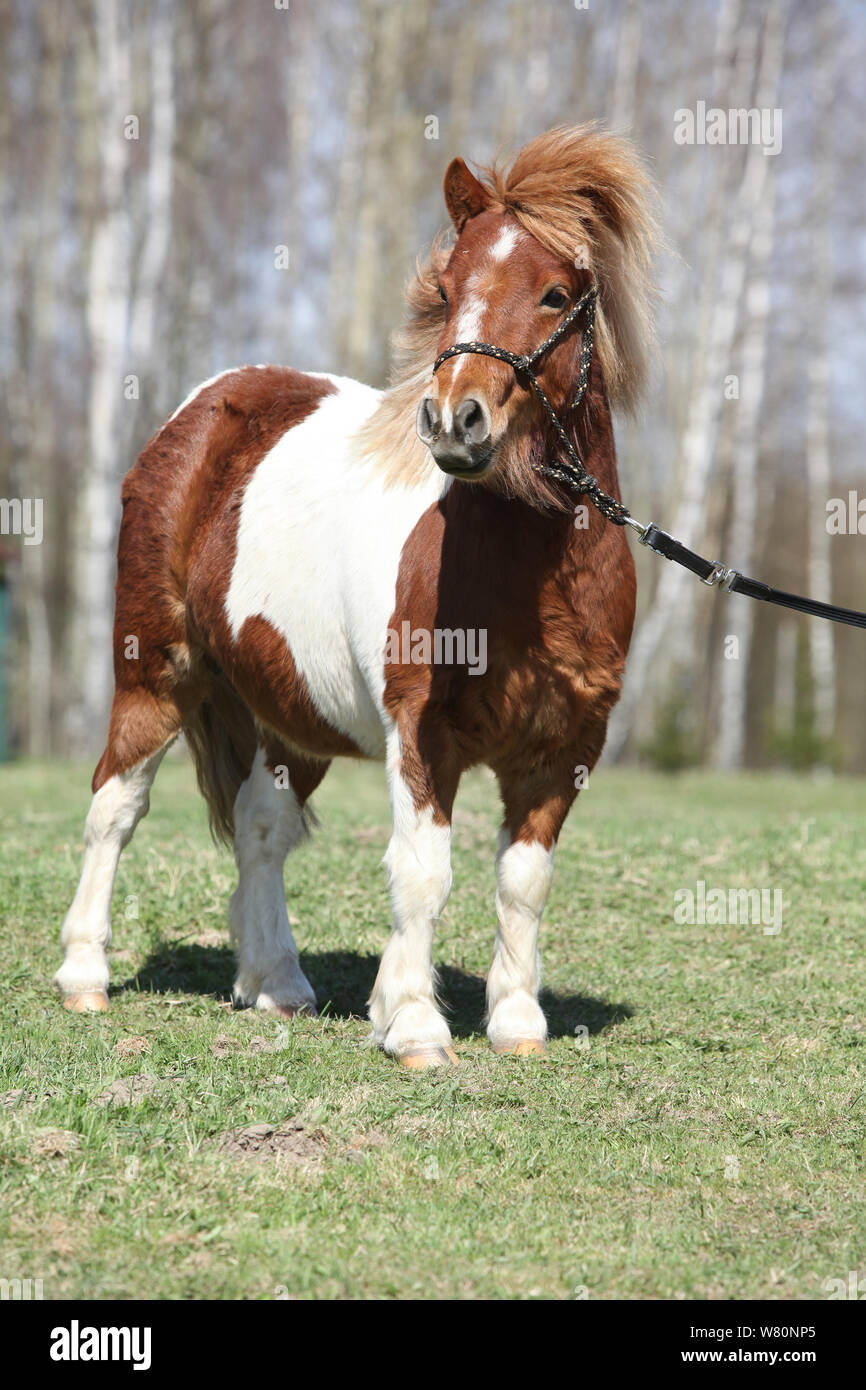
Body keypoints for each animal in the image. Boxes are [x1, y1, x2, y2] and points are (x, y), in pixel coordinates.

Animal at [57, 125, 661, 1067]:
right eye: (447, 290)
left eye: (556, 293)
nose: (455, 420)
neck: (530, 573)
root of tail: (197, 412)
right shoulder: (422, 732)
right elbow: (423, 869)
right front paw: (413, 1023)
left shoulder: (566, 745)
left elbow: (524, 880)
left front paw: (518, 1023)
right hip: (156, 674)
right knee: (114, 807)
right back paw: (85, 975)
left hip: (291, 714)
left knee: (261, 824)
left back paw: (276, 983)